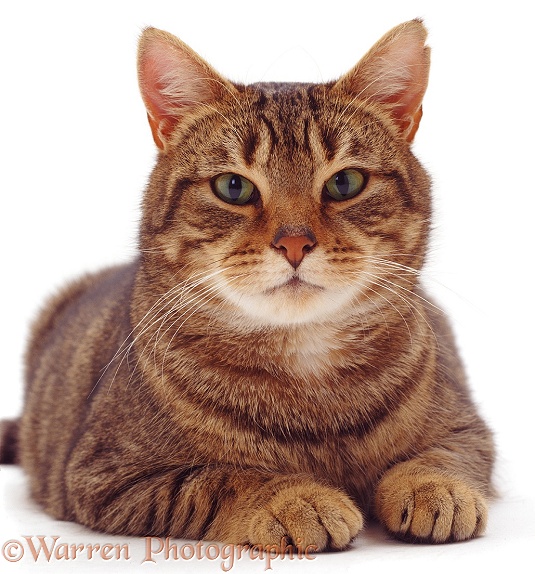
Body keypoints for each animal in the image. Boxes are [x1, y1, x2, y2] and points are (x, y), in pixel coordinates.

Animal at [0, 20, 494, 552]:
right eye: (233, 188)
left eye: (345, 183)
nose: (295, 242)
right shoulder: (108, 473)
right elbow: (223, 479)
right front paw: (295, 499)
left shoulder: (468, 426)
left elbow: (443, 456)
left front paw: (435, 487)